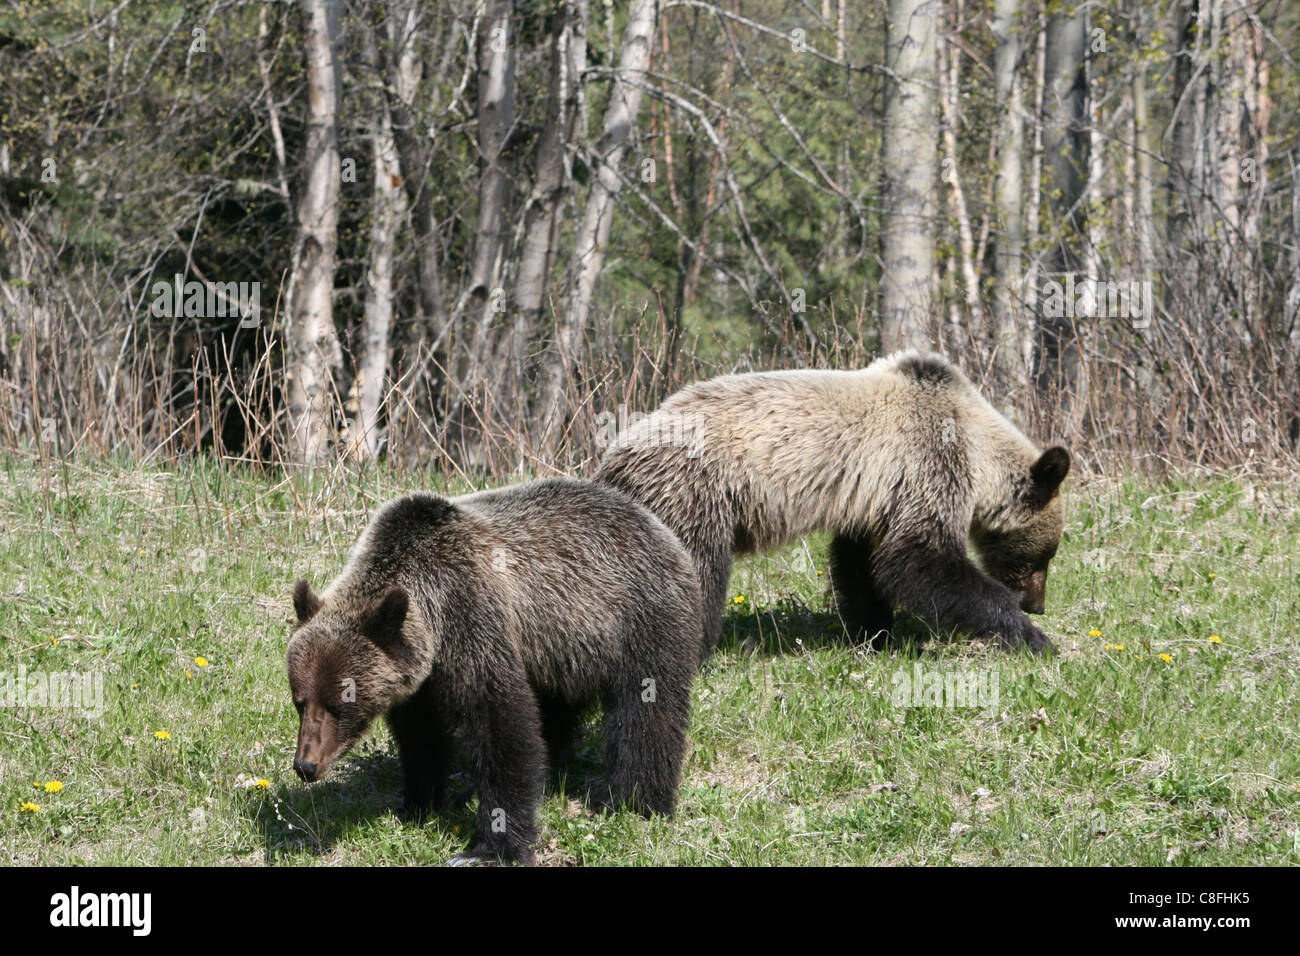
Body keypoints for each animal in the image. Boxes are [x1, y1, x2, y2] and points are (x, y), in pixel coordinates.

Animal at [287, 478, 702, 868]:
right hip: (559, 648)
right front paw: (418, 802)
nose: (306, 765)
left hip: (636, 617)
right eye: (300, 701)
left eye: (340, 703)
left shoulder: (471, 617)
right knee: (557, 710)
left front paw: (490, 847)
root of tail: (654, 522)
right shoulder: (419, 678)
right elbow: (421, 736)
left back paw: (635, 799)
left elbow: (500, 725)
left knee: (645, 713)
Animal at [595, 348, 1066, 658]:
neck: (978, 449)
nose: (1037, 603)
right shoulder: (929, 463)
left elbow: (863, 564)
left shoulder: (875, 496)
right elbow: (919, 556)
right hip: (693, 491)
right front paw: (1029, 635)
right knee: (696, 571)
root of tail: (615, 454)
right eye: (1045, 554)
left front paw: (873, 633)